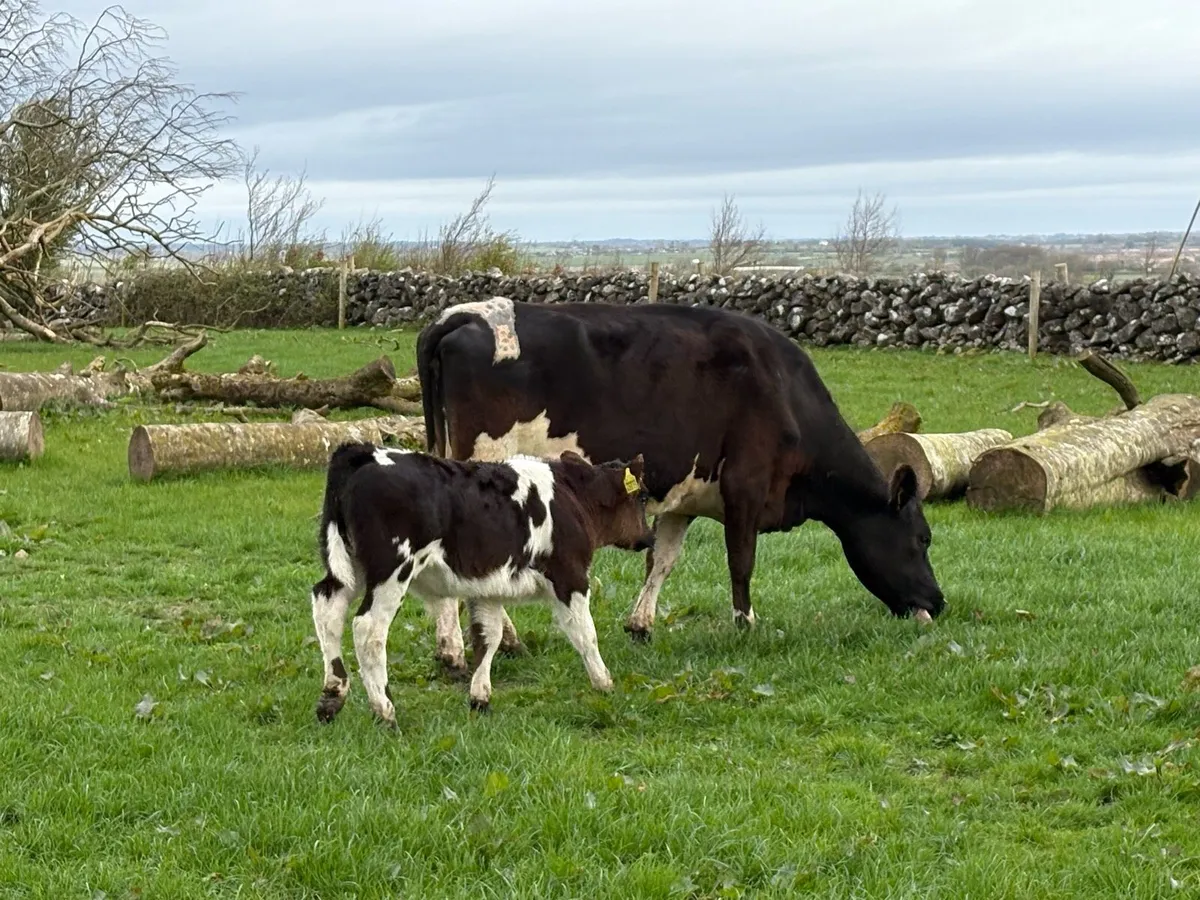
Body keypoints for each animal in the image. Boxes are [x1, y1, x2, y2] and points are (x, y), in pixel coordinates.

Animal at [309, 440, 654, 726]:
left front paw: (480, 697)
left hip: (348, 567)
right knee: (368, 629)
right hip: (391, 571)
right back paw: (385, 710)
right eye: (643, 496)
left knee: (328, 607)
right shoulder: (570, 577)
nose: (649, 538)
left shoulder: (488, 588)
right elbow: (585, 634)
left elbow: (489, 636)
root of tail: (364, 452)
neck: (573, 498)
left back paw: (332, 697)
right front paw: (604, 683)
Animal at [414, 297, 946, 671]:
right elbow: (741, 561)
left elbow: (662, 560)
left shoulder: (683, 496)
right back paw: (466, 647)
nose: (938, 603)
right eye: (922, 538)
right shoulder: (746, 484)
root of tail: (463, 314)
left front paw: (640, 624)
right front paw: (746, 624)